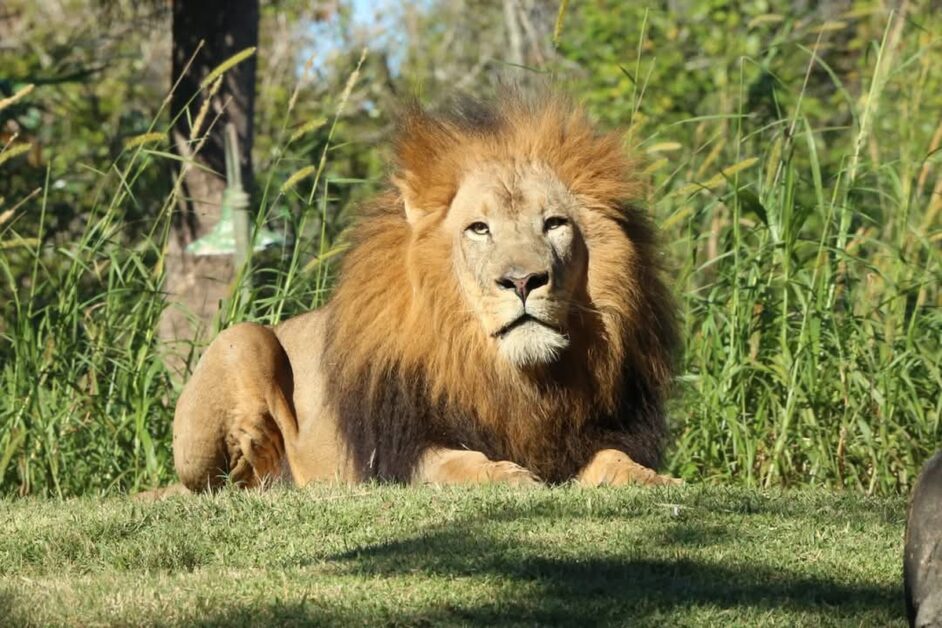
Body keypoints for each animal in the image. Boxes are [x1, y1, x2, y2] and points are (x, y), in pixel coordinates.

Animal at [170, 93, 681, 492]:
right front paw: (507, 476)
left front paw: (654, 480)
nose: (522, 281)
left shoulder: (605, 431)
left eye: (554, 224)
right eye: (479, 229)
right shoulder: (402, 451)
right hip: (242, 340)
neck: (520, 380)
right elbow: (456, 462)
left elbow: (616, 459)